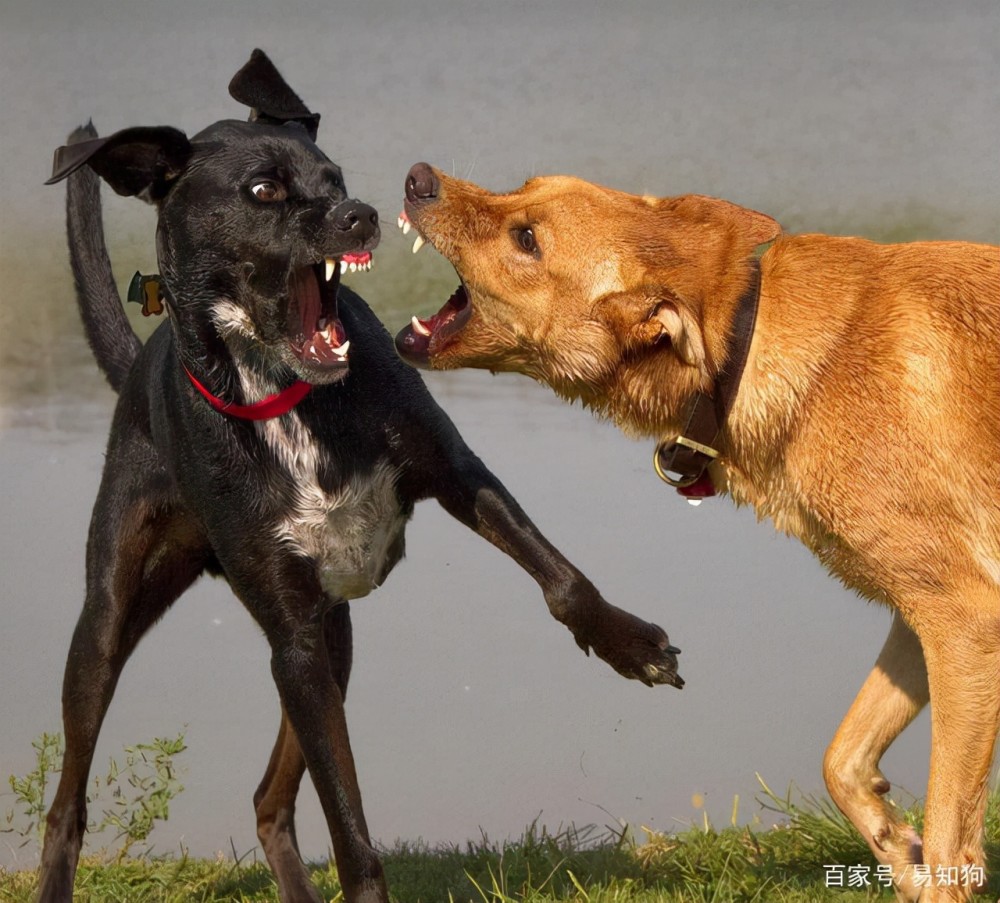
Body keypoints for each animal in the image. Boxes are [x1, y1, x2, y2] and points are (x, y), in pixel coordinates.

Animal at [37, 51, 680, 903]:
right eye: (263, 191)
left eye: (333, 174)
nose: (362, 214)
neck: (285, 395)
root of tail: (138, 367)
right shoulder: (294, 635)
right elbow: (349, 823)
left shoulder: (453, 472)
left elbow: (562, 580)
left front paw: (630, 646)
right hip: (114, 614)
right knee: (67, 796)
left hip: (333, 638)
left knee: (267, 799)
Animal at [396, 164, 1000, 903]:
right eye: (526, 186)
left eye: (527, 238)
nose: (419, 177)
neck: (750, 342)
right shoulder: (928, 616)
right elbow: (844, 760)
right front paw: (897, 847)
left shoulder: (965, 618)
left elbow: (948, 833)